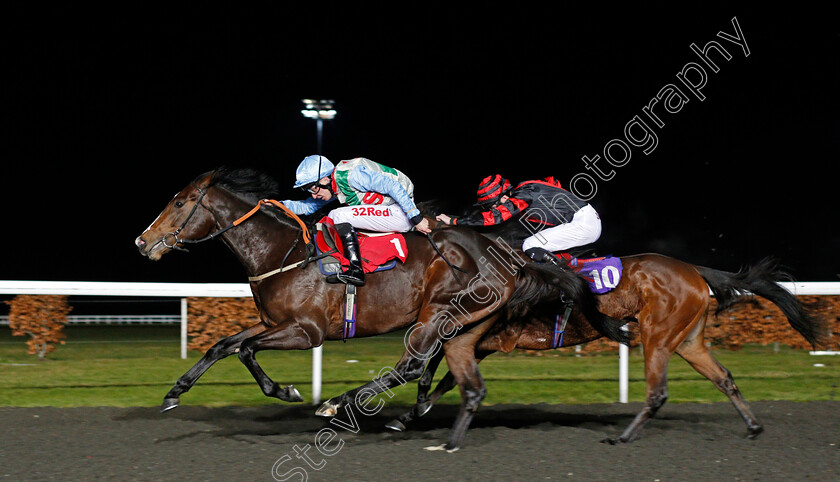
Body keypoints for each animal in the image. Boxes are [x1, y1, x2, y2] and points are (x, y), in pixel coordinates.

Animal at [133, 168, 632, 450]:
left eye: (180, 202)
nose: (141, 241)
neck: (283, 251)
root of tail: (508, 256)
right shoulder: (273, 323)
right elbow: (224, 345)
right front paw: (175, 392)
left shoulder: (306, 331)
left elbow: (244, 350)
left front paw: (290, 392)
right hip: (460, 323)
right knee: (430, 371)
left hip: (438, 312)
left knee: (410, 366)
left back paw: (340, 404)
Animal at [386, 207, 828, 444]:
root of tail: (693, 270)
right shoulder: (482, 340)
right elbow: (441, 374)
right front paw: (410, 413)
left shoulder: (490, 338)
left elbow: (441, 371)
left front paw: (414, 408)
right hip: (688, 339)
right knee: (724, 378)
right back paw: (753, 426)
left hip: (657, 336)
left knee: (657, 392)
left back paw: (624, 436)